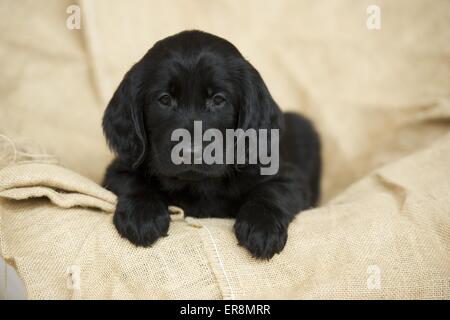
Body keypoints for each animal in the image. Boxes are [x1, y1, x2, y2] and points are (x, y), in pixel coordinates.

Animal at [102, 30, 320, 260]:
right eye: (165, 99)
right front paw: (142, 215)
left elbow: (271, 193)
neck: (198, 185)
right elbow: (133, 182)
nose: (190, 152)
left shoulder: (288, 177)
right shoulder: (118, 168)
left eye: (218, 99)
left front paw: (262, 227)